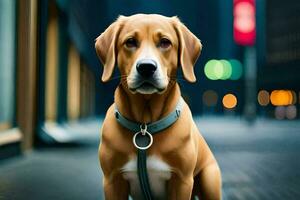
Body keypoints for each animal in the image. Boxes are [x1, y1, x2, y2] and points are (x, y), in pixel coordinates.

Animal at [95, 13, 221, 199]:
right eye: (130, 42)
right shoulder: (112, 181)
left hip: (209, 180)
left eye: (165, 42)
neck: (145, 126)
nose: (146, 67)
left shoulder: (182, 181)